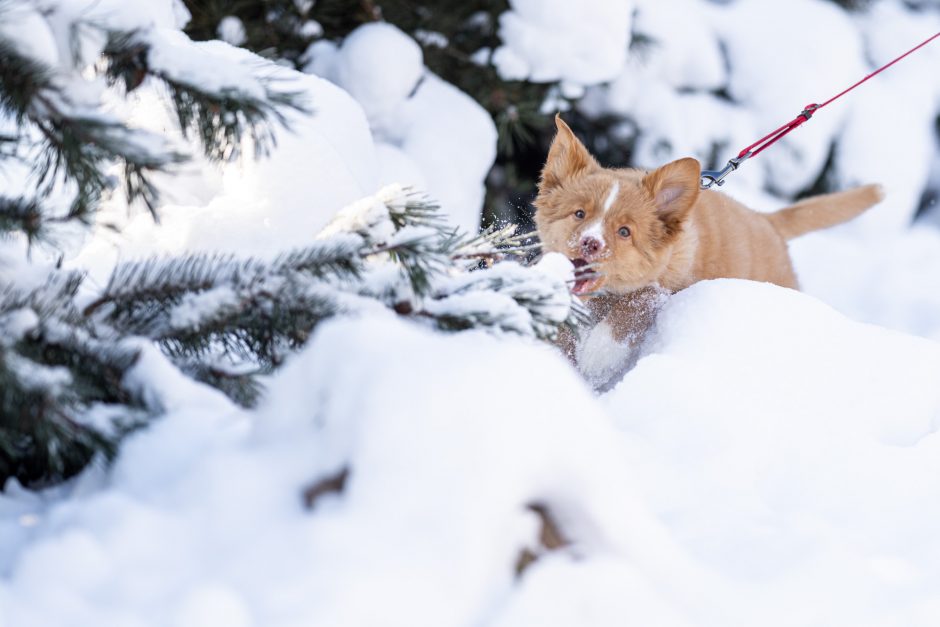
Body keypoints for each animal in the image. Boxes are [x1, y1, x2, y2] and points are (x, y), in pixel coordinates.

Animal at [532, 118, 884, 382]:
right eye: (579, 213)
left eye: (624, 232)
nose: (591, 243)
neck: (604, 299)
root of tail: (767, 220)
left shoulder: (668, 286)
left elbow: (640, 300)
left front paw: (599, 353)